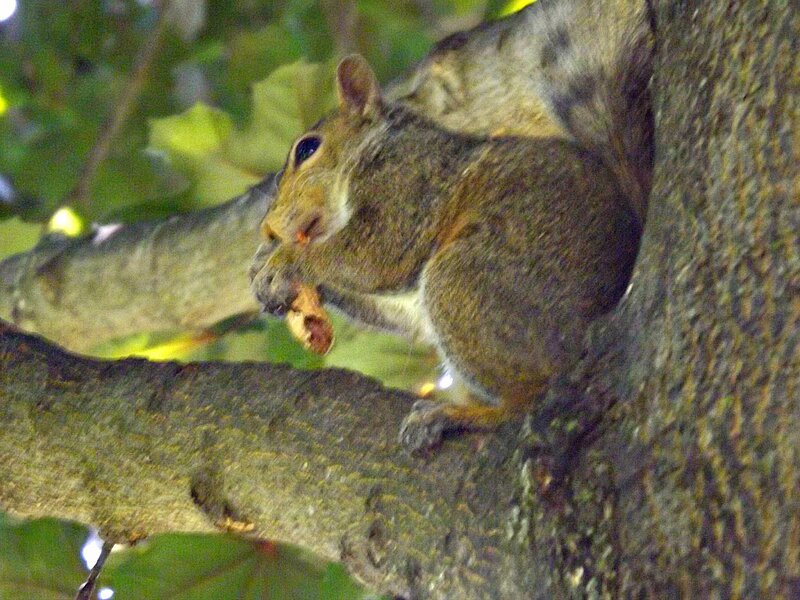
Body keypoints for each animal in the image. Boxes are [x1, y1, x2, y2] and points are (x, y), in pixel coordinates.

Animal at [250, 0, 651, 451]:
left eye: (307, 149)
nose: (267, 229)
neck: (374, 148)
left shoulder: (409, 183)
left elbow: (377, 254)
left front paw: (283, 261)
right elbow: (400, 311)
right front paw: (265, 268)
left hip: (465, 284)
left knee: (530, 398)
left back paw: (460, 414)